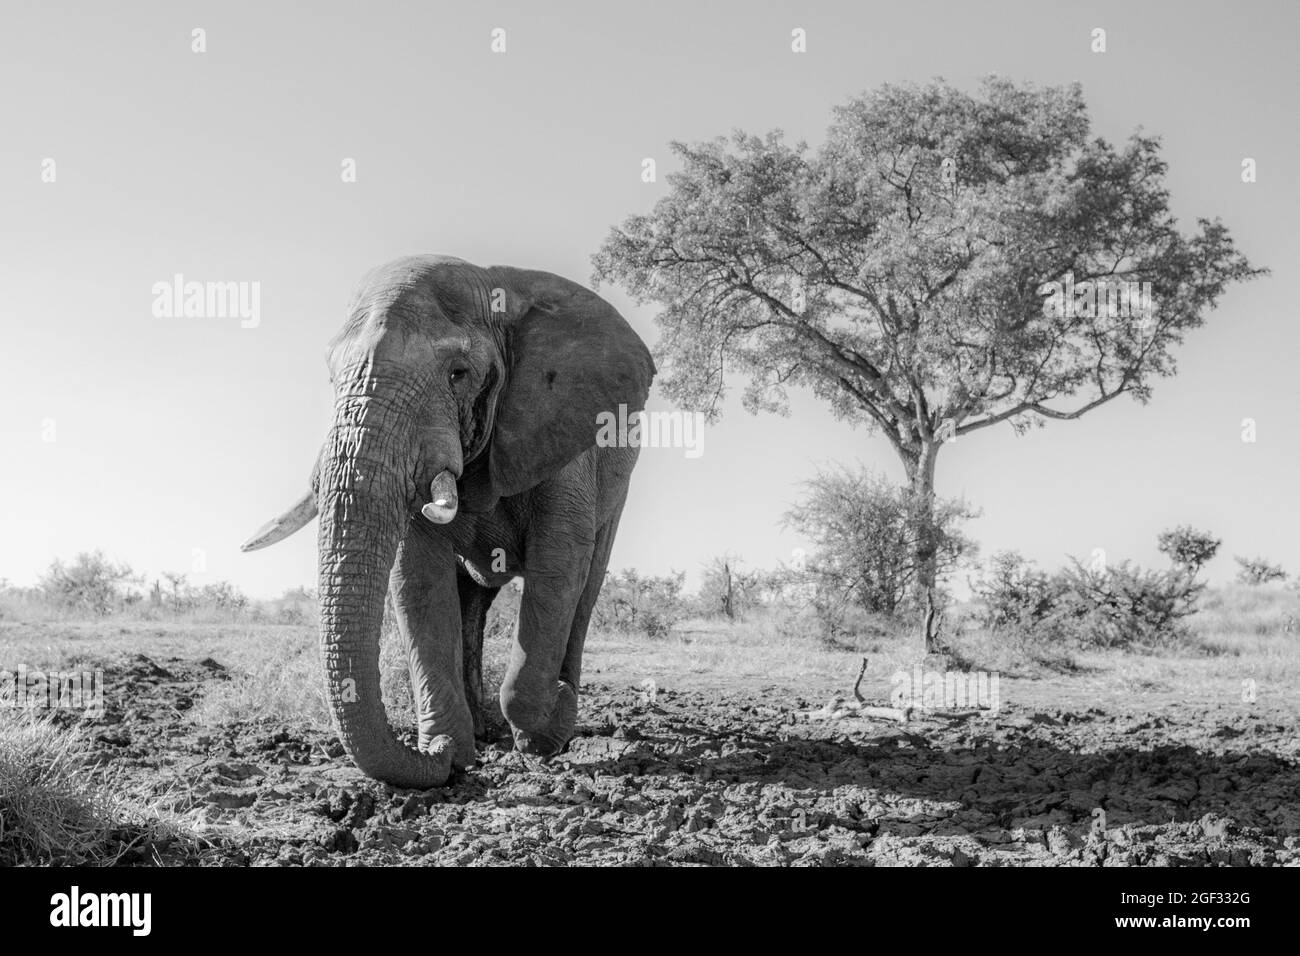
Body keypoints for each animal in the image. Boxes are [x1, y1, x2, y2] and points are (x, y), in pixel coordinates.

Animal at [241, 255, 655, 788]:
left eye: (458, 373)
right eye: (332, 380)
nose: (436, 756)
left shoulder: (564, 432)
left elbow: (558, 566)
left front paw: (544, 734)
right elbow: (418, 578)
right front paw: (452, 755)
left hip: (619, 482)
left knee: (587, 585)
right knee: (472, 597)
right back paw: (484, 730)